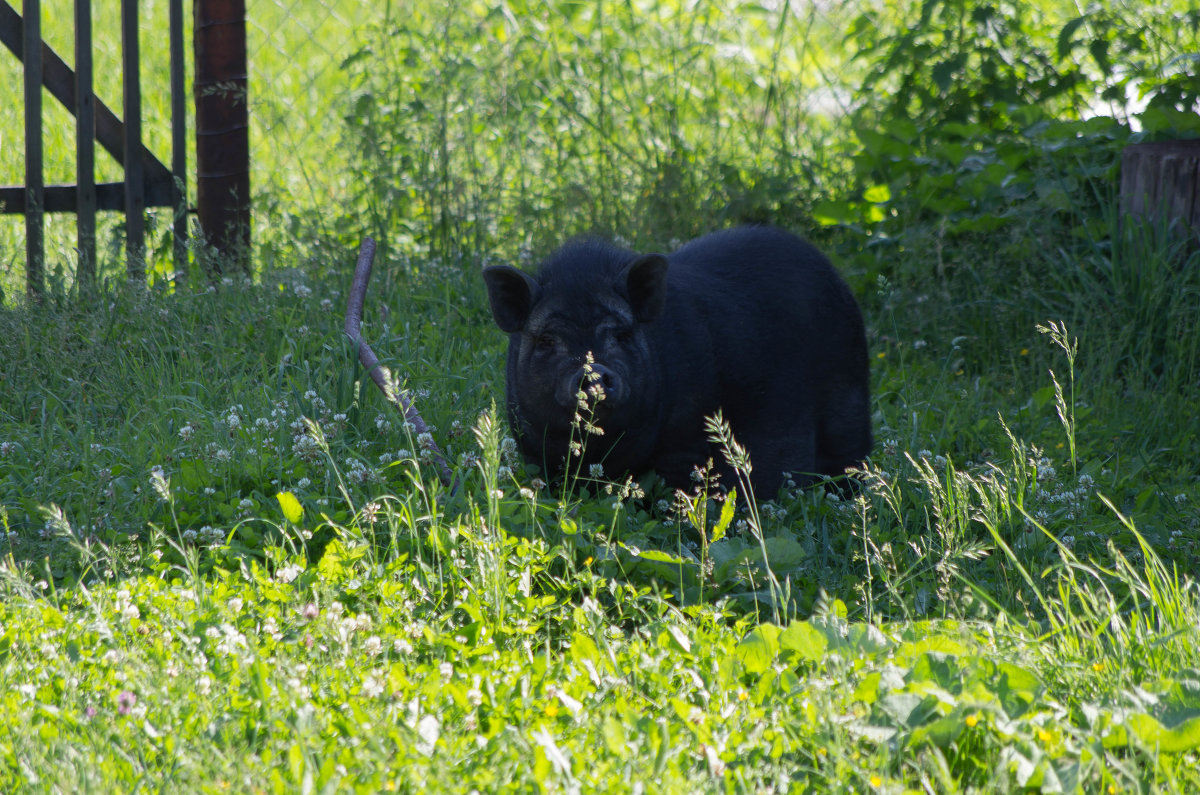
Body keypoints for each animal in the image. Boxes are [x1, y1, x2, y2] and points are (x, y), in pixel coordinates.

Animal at [480, 225, 873, 499]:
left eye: (622, 335)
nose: (593, 374)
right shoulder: (534, 450)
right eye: (547, 340)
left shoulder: (688, 443)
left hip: (849, 409)